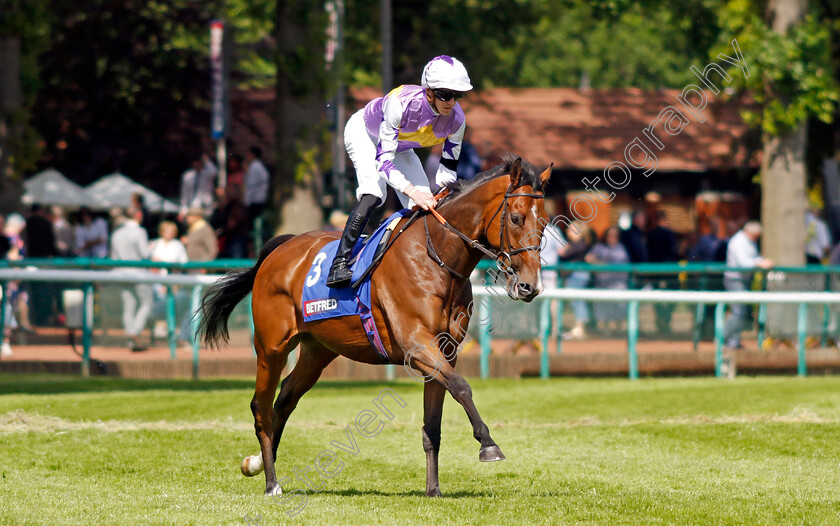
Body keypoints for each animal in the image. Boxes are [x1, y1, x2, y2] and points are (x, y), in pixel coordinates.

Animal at [197, 156, 552, 500]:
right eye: (516, 218)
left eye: (545, 222)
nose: (529, 286)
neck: (435, 258)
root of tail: (280, 250)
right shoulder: (417, 344)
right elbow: (462, 387)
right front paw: (488, 445)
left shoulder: (442, 352)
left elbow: (433, 425)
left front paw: (433, 489)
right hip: (272, 346)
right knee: (261, 406)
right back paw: (271, 483)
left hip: (317, 351)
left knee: (283, 400)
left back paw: (258, 463)